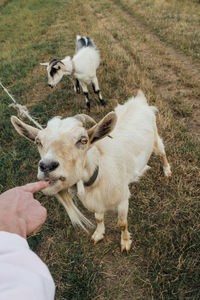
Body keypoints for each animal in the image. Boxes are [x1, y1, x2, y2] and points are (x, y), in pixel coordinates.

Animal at [10, 91, 170, 251]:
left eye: (83, 140)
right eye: (38, 142)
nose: (46, 166)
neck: (99, 174)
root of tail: (138, 100)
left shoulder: (123, 199)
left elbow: (122, 224)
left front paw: (125, 242)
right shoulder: (95, 203)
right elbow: (98, 218)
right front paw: (98, 234)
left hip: (155, 139)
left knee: (162, 152)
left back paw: (167, 170)